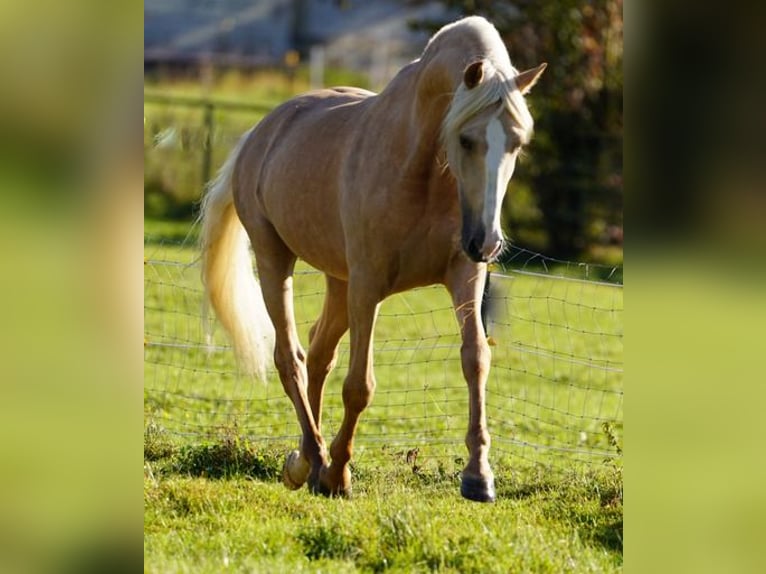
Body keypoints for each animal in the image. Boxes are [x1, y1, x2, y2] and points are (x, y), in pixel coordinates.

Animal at [198, 15, 544, 504]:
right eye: (466, 139)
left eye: (516, 143)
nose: (488, 241)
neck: (422, 169)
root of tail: (262, 132)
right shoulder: (369, 285)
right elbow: (360, 386)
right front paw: (339, 475)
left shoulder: (465, 276)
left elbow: (475, 358)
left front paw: (479, 476)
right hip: (275, 262)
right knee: (291, 358)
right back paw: (312, 461)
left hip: (339, 281)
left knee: (318, 352)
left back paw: (307, 460)